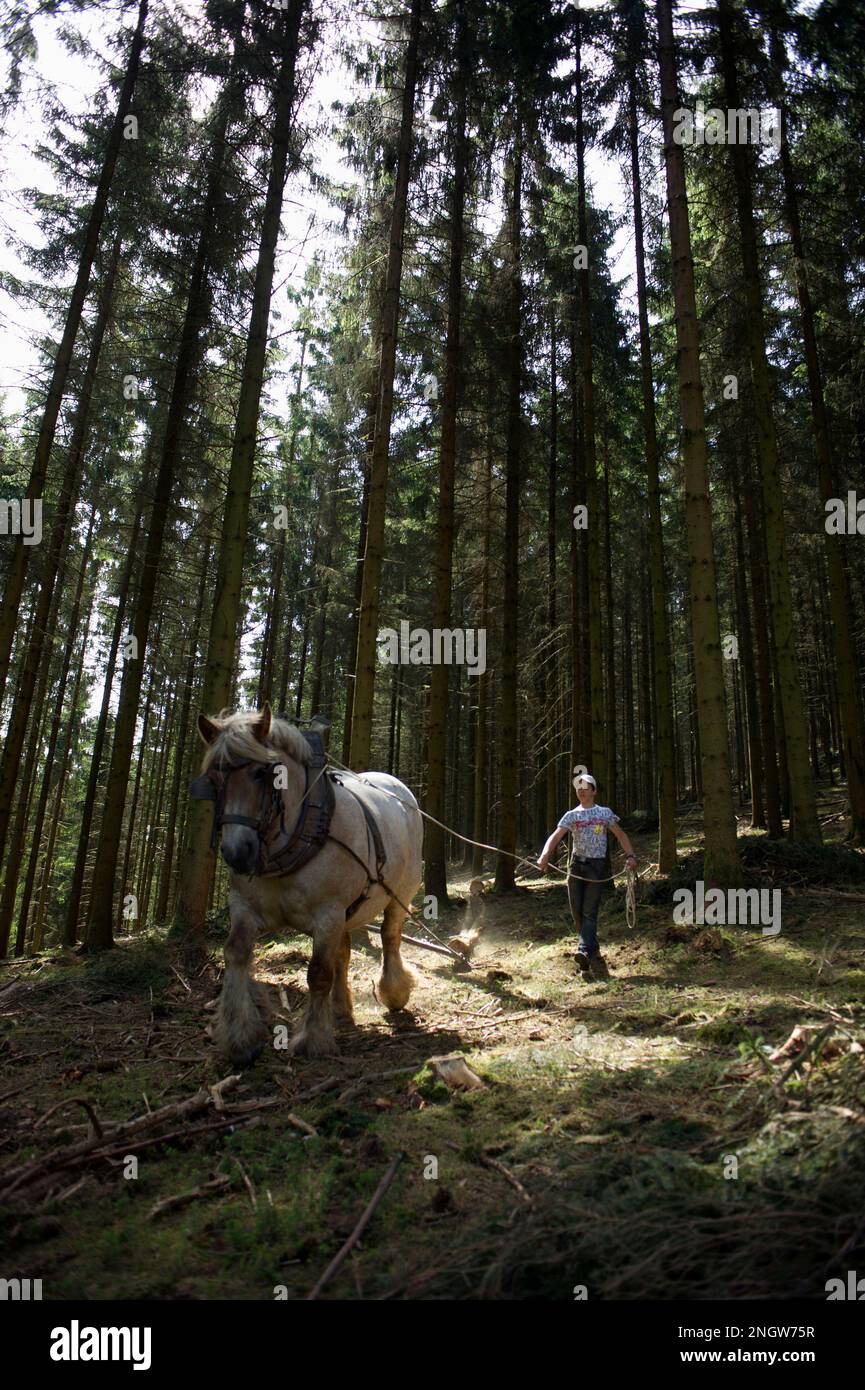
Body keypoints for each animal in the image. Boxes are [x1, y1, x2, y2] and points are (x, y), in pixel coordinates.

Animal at [196, 706, 428, 1061]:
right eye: (214, 778)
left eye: (262, 774)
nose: (237, 853)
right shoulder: (244, 906)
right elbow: (235, 952)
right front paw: (240, 1036)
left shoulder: (328, 912)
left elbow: (318, 972)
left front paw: (313, 1039)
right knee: (343, 953)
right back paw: (340, 1008)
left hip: (400, 892)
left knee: (390, 936)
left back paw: (394, 991)